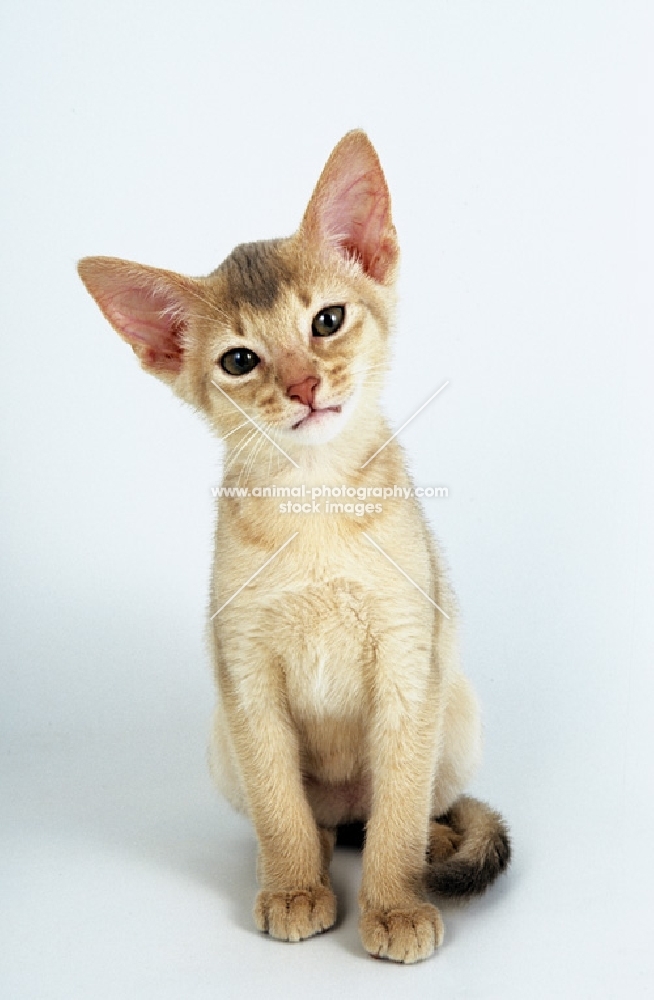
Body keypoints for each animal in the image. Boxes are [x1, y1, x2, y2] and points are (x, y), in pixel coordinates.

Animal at [78, 131, 512, 960]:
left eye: (328, 320)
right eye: (240, 361)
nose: (307, 386)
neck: (314, 502)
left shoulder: (408, 665)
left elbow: (398, 813)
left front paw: (394, 906)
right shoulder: (247, 678)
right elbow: (279, 805)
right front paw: (292, 889)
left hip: (458, 710)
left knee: (401, 813)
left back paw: (436, 846)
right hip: (222, 742)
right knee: (315, 821)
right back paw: (299, 857)